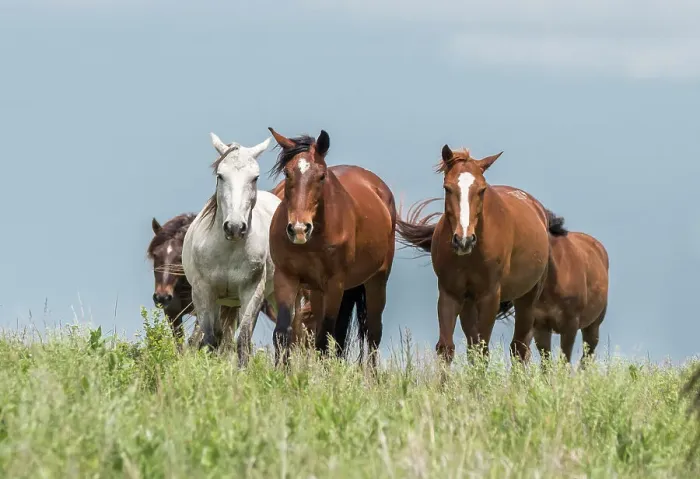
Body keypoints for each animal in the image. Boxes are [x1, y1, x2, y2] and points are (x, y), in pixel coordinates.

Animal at [267, 127, 396, 368]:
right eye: (287, 173)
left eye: (321, 176)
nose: (299, 229)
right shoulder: (286, 277)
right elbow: (283, 333)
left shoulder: (335, 283)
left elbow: (325, 338)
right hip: (317, 291)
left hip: (376, 281)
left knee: (373, 333)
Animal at [396, 144, 564, 364]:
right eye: (447, 188)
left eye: (482, 190)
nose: (464, 240)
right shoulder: (450, 293)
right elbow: (447, 348)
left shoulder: (489, 296)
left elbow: (483, 350)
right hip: (469, 303)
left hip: (528, 298)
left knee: (519, 347)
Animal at [496, 224, 610, 366]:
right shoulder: (541, 326)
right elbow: (546, 361)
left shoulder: (570, 325)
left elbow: (564, 360)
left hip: (593, 325)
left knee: (587, 355)